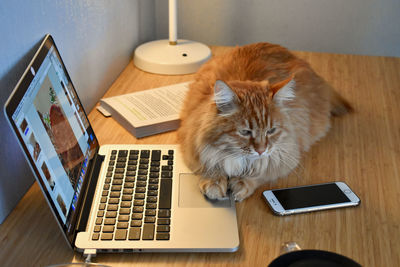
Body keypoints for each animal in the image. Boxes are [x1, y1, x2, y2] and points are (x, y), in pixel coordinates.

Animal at [177, 42, 350, 201]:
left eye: (271, 130)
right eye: (245, 132)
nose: (261, 150)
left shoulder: (285, 155)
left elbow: (261, 172)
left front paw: (242, 183)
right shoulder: (191, 143)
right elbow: (208, 164)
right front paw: (214, 182)